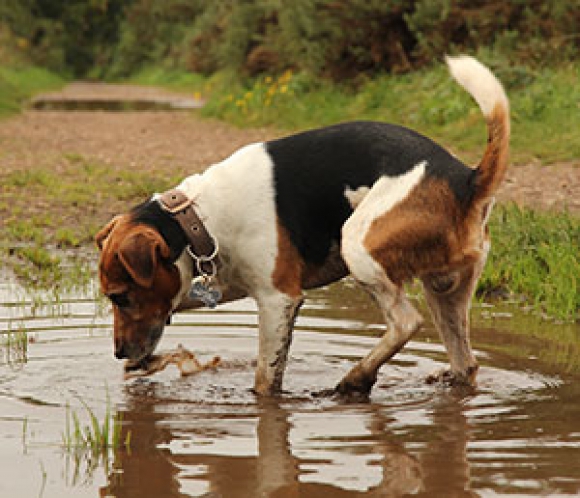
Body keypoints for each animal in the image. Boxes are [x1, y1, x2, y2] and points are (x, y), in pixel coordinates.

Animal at [97, 55, 510, 396]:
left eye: (121, 297)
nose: (118, 353)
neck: (198, 218)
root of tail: (466, 180)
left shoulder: (278, 299)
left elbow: (266, 379)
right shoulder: (227, 284)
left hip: (358, 246)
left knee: (405, 323)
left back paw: (357, 379)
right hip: (446, 295)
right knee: (465, 364)